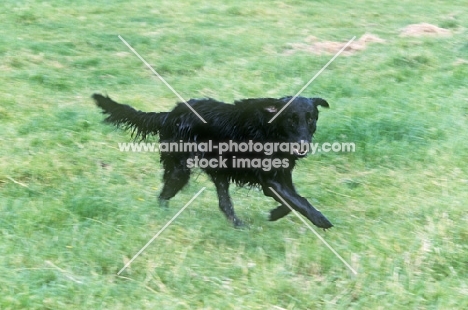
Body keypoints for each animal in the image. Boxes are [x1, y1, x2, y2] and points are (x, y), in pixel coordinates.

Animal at [92, 93, 332, 229]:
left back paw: (237, 225)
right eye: (291, 120)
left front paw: (274, 214)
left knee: (223, 203)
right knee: (164, 194)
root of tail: (169, 114)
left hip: (218, 172)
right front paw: (321, 220)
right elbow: (298, 201)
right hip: (181, 169)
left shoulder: (282, 177)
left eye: (311, 119)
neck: (269, 130)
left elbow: (293, 202)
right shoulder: (271, 180)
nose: (303, 146)